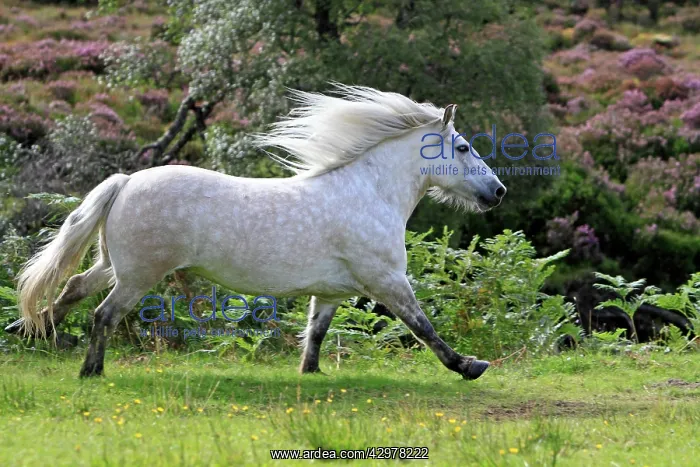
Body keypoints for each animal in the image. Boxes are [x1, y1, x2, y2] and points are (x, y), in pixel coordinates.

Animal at [6, 84, 506, 379]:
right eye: (464, 147)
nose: (497, 191)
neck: (369, 192)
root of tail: (127, 181)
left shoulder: (331, 292)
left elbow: (316, 333)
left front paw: (310, 374)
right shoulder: (386, 281)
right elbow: (423, 326)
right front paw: (469, 366)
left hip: (116, 266)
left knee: (73, 287)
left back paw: (32, 331)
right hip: (138, 276)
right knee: (103, 314)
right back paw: (89, 369)